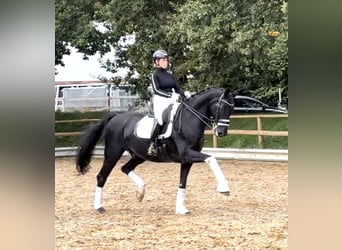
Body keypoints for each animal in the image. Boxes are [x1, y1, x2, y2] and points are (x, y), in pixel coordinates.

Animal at [76, 87, 234, 214]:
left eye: (231, 110)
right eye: (221, 107)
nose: (221, 133)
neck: (189, 120)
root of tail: (117, 116)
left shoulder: (186, 160)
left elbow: (182, 183)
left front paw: (181, 209)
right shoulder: (187, 154)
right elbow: (211, 158)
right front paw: (224, 188)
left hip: (139, 156)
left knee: (125, 168)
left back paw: (140, 193)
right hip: (113, 153)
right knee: (102, 176)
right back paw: (99, 207)